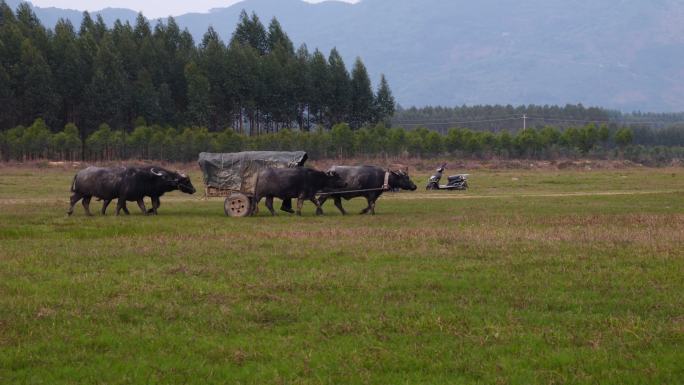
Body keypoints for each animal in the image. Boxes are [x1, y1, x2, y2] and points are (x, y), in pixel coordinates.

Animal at [67, 164, 195, 214]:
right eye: (187, 181)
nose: (194, 190)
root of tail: (80, 173)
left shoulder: (147, 196)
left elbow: (152, 205)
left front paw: (150, 211)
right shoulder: (152, 194)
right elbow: (155, 204)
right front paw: (151, 211)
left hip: (87, 194)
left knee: (85, 203)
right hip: (81, 192)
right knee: (73, 199)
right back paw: (70, 212)